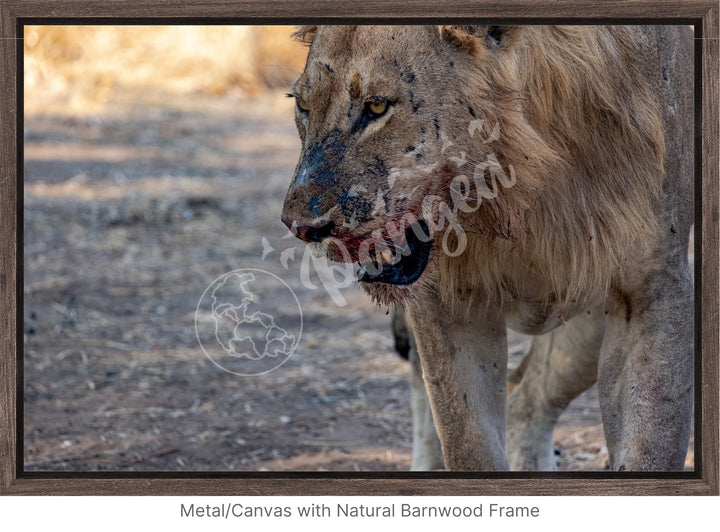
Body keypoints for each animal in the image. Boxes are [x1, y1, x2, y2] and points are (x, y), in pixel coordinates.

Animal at [280, 25, 692, 470]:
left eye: (376, 106)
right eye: (303, 105)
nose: (301, 227)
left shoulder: (653, 285)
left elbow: (650, 443)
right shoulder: (450, 300)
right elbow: (468, 442)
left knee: (527, 396)